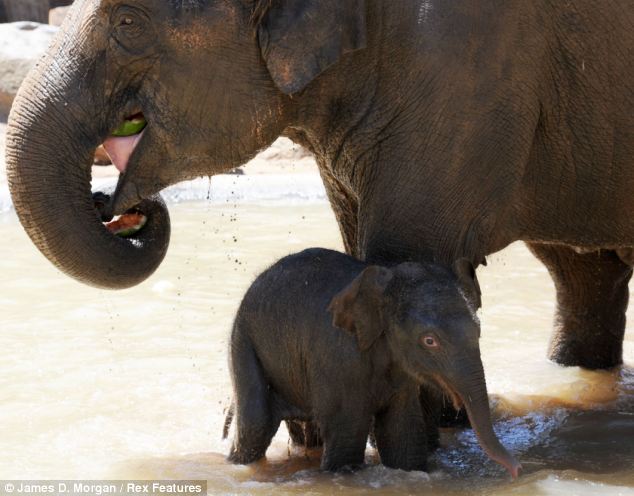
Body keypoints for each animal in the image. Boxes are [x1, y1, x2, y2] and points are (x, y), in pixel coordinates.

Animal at [225, 248, 516, 476]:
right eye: (429, 341)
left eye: (478, 331)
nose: (516, 470)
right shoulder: (338, 358)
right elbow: (347, 440)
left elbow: (401, 436)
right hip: (243, 342)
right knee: (256, 425)